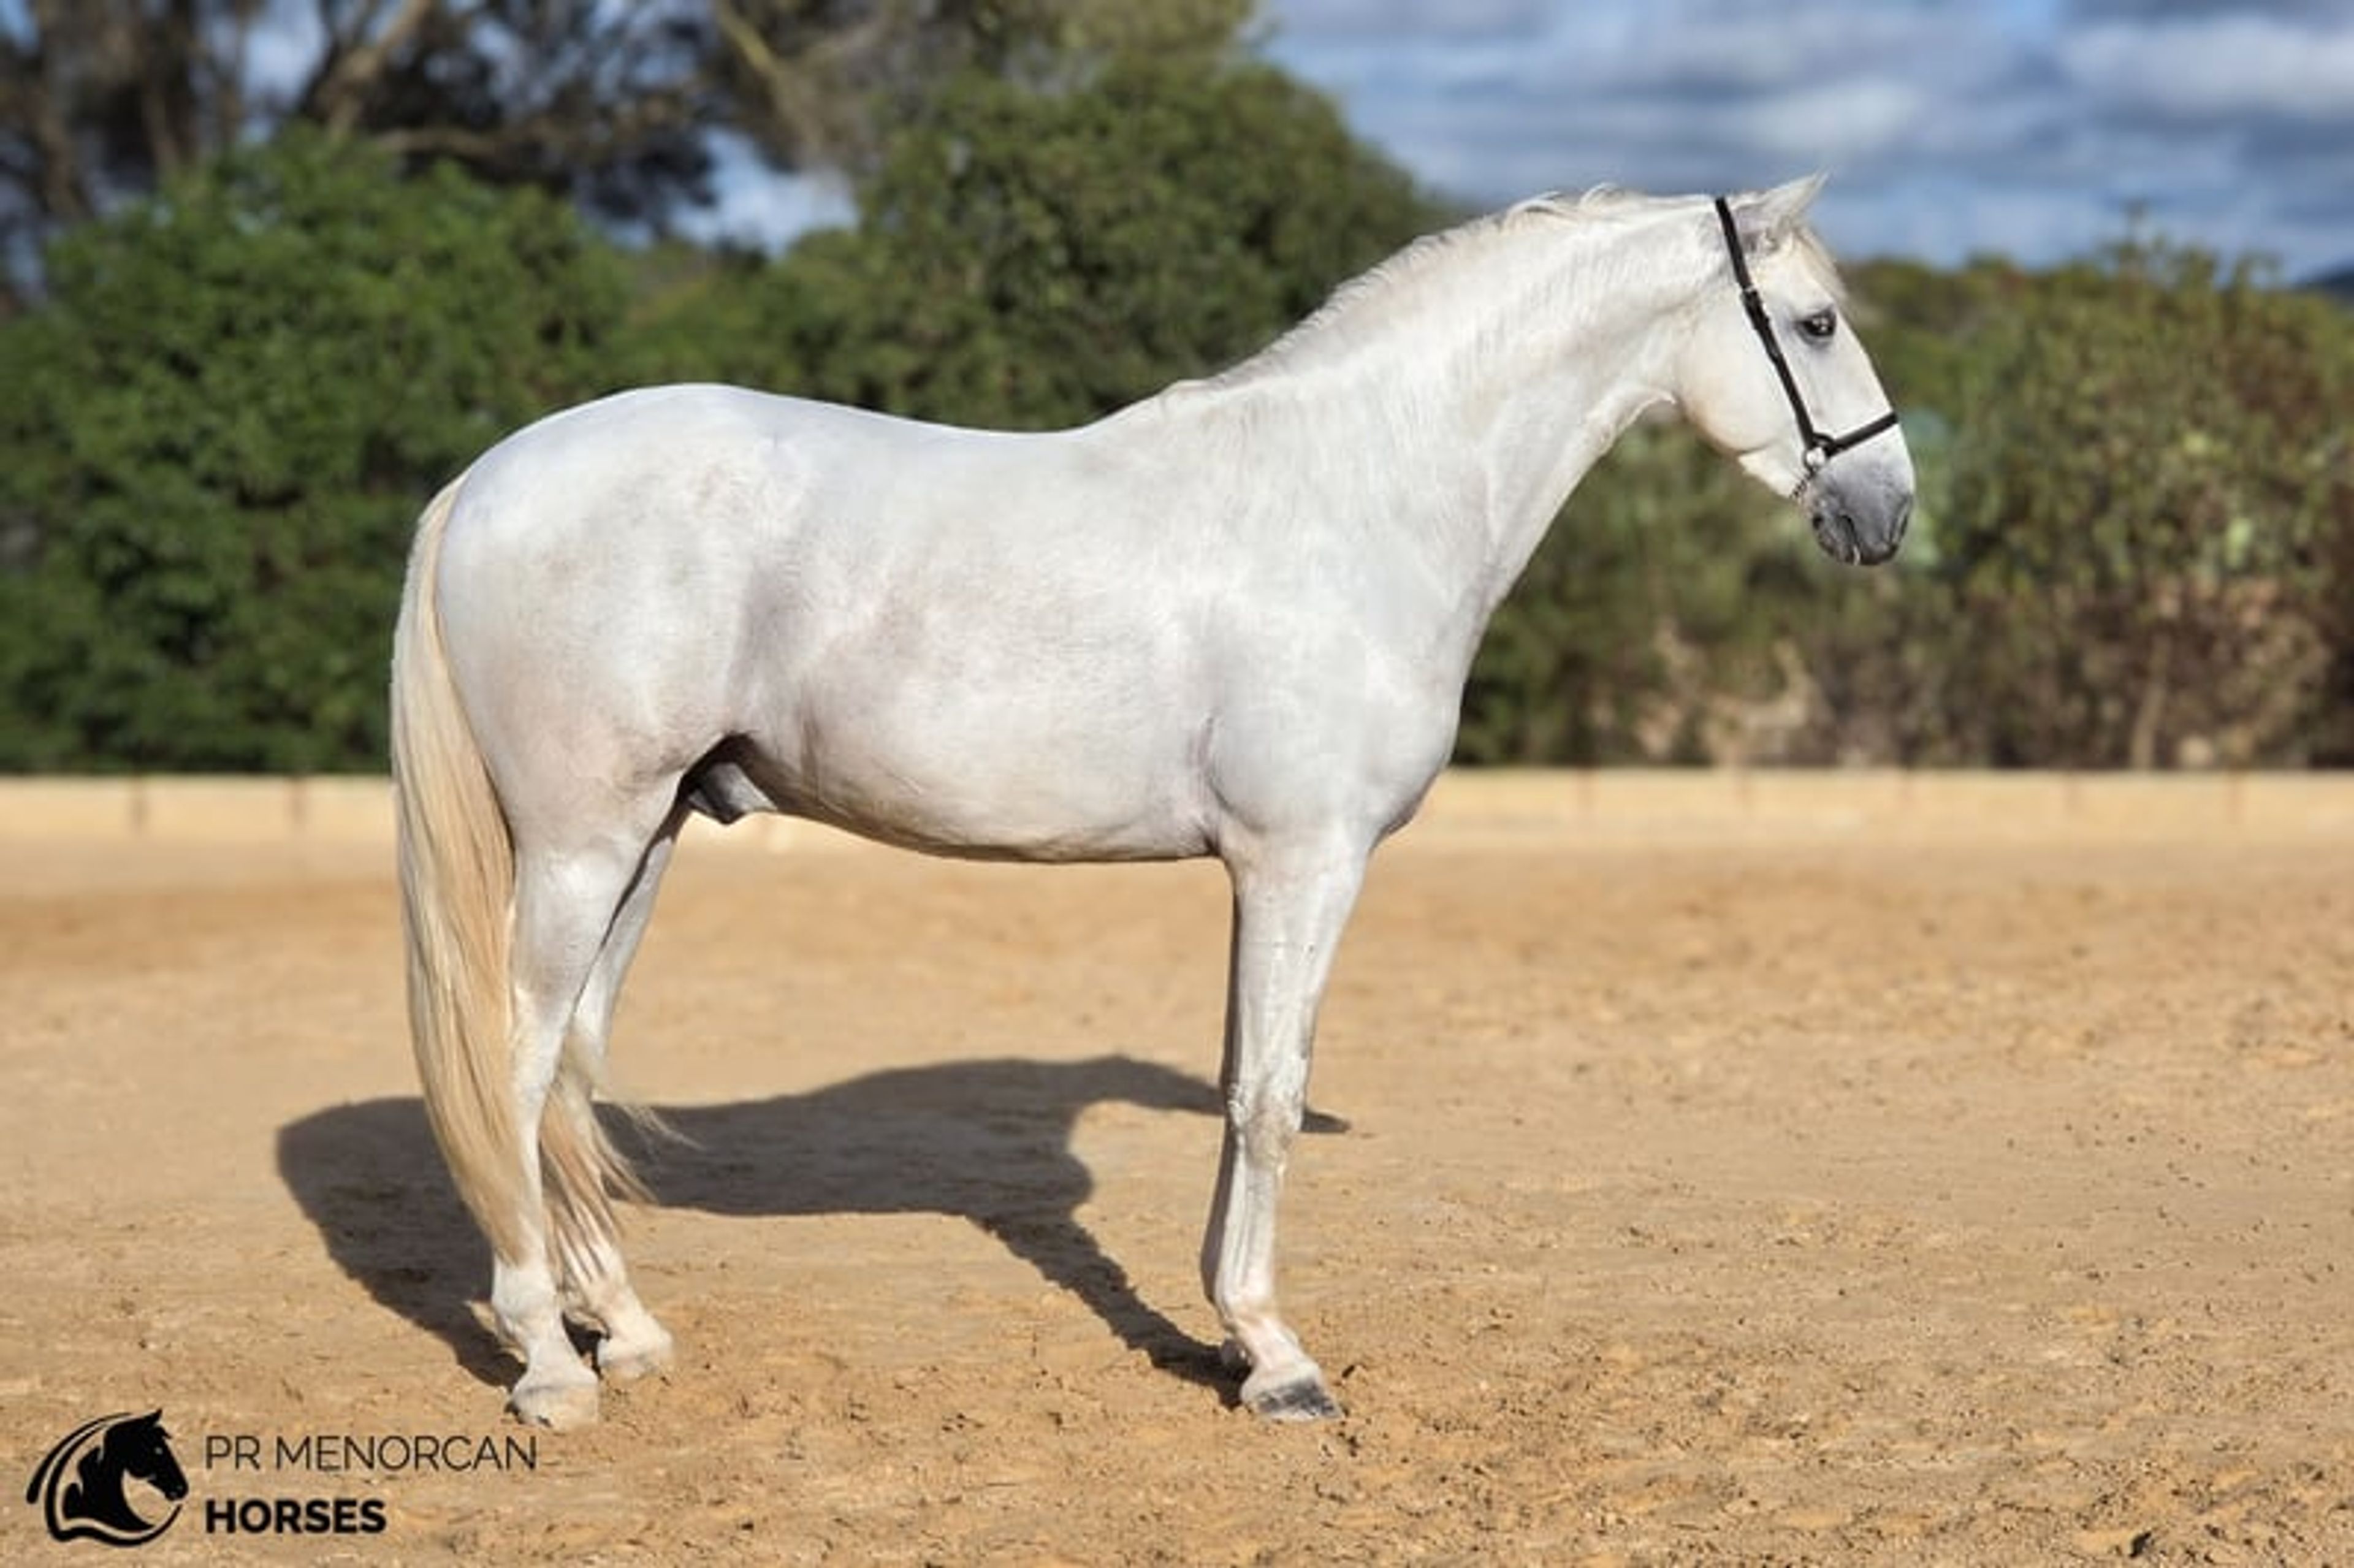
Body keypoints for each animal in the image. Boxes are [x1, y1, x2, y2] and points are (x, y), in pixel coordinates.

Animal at [390, 176, 1914, 1429]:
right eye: (1818, 321)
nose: (1888, 510)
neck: (1358, 495)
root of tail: (487, 478)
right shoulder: (1306, 861)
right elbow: (1271, 1095)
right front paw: (1277, 1361)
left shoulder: (1264, 868)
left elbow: (1247, 1083)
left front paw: (1236, 1338)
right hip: (582, 842)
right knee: (514, 1064)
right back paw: (549, 1364)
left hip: (647, 837)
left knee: (572, 1068)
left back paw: (629, 1331)